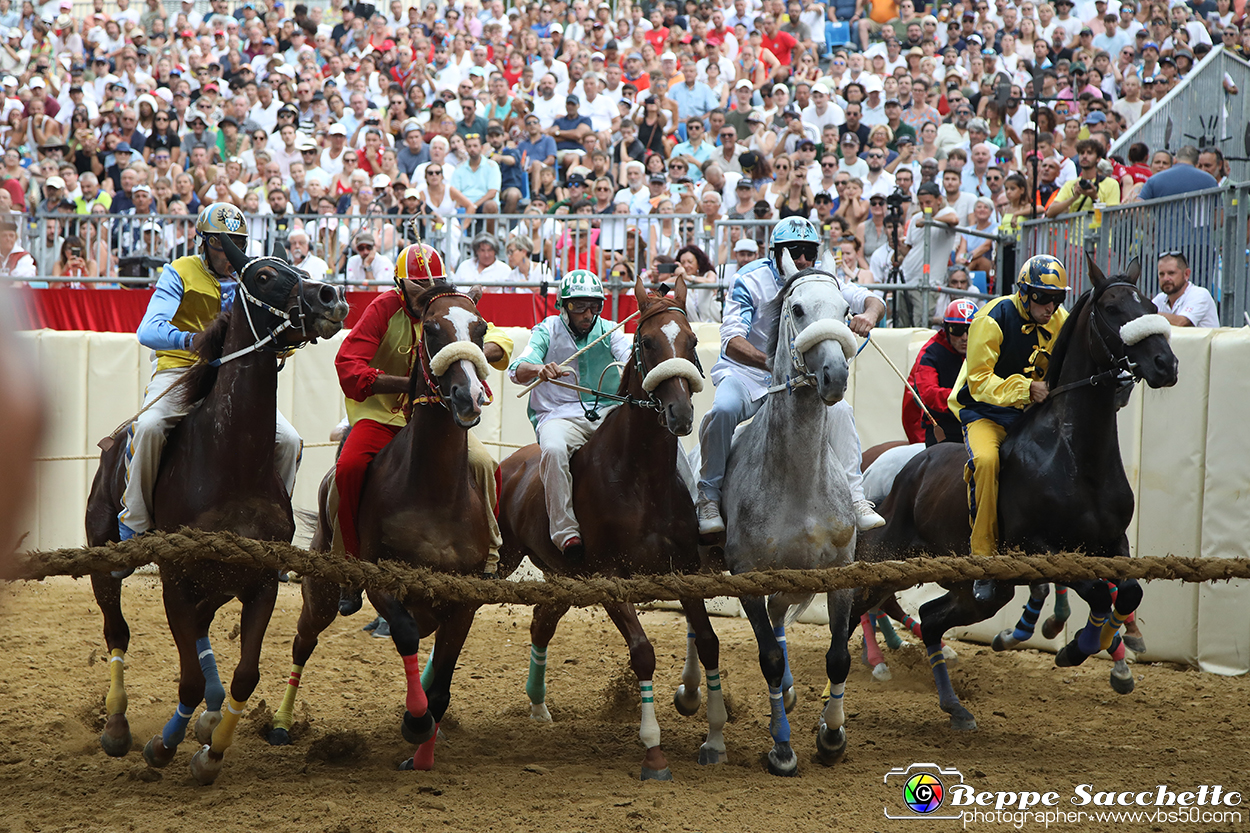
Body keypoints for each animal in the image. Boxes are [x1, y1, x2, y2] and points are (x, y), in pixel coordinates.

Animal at [84, 236, 347, 780]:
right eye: (264, 275)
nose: (331, 296)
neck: (231, 464)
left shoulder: (261, 581)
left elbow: (246, 674)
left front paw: (212, 751)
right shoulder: (176, 578)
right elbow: (184, 676)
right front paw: (164, 746)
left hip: (220, 581)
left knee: (202, 631)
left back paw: (208, 714)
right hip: (106, 557)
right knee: (116, 630)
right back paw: (118, 726)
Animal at [266, 282, 495, 770]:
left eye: (481, 328)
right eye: (432, 329)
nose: (468, 396)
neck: (433, 491)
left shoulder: (463, 600)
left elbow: (442, 684)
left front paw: (422, 755)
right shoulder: (381, 580)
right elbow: (404, 633)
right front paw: (415, 721)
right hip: (321, 590)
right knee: (302, 642)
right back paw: (280, 723)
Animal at [492, 277, 720, 780]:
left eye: (693, 341)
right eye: (647, 341)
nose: (679, 414)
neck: (640, 476)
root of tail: (509, 463)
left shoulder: (684, 569)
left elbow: (710, 643)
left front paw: (715, 738)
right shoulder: (610, 576)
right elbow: (643, 652)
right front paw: (653, 751)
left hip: (562, 575)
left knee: (541, 621)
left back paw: (538, 707)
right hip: (503, 558)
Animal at [720, 262, 865, 775]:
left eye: (847, 312)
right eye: (798, 309)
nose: (835, 375)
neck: (798, 482)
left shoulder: (840, 572)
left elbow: (838, 657)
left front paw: (833, 735)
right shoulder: (746, 576)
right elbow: (768, 658)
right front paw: (782, 748)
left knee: (780, 616)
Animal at [855, 257, 1175, 725]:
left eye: (1151, 305)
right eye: (1113, 308)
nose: (1165, 363)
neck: (1072, 455)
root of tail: (899, 468)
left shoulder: (1112, 541)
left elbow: (1127, 591)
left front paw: (1099, 647)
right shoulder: (1040, 546)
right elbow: (1097, 592)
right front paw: (1075, 647)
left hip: (974, 588)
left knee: (930, 618)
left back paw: (954, 705)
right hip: (888, 555)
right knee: (863, 605)